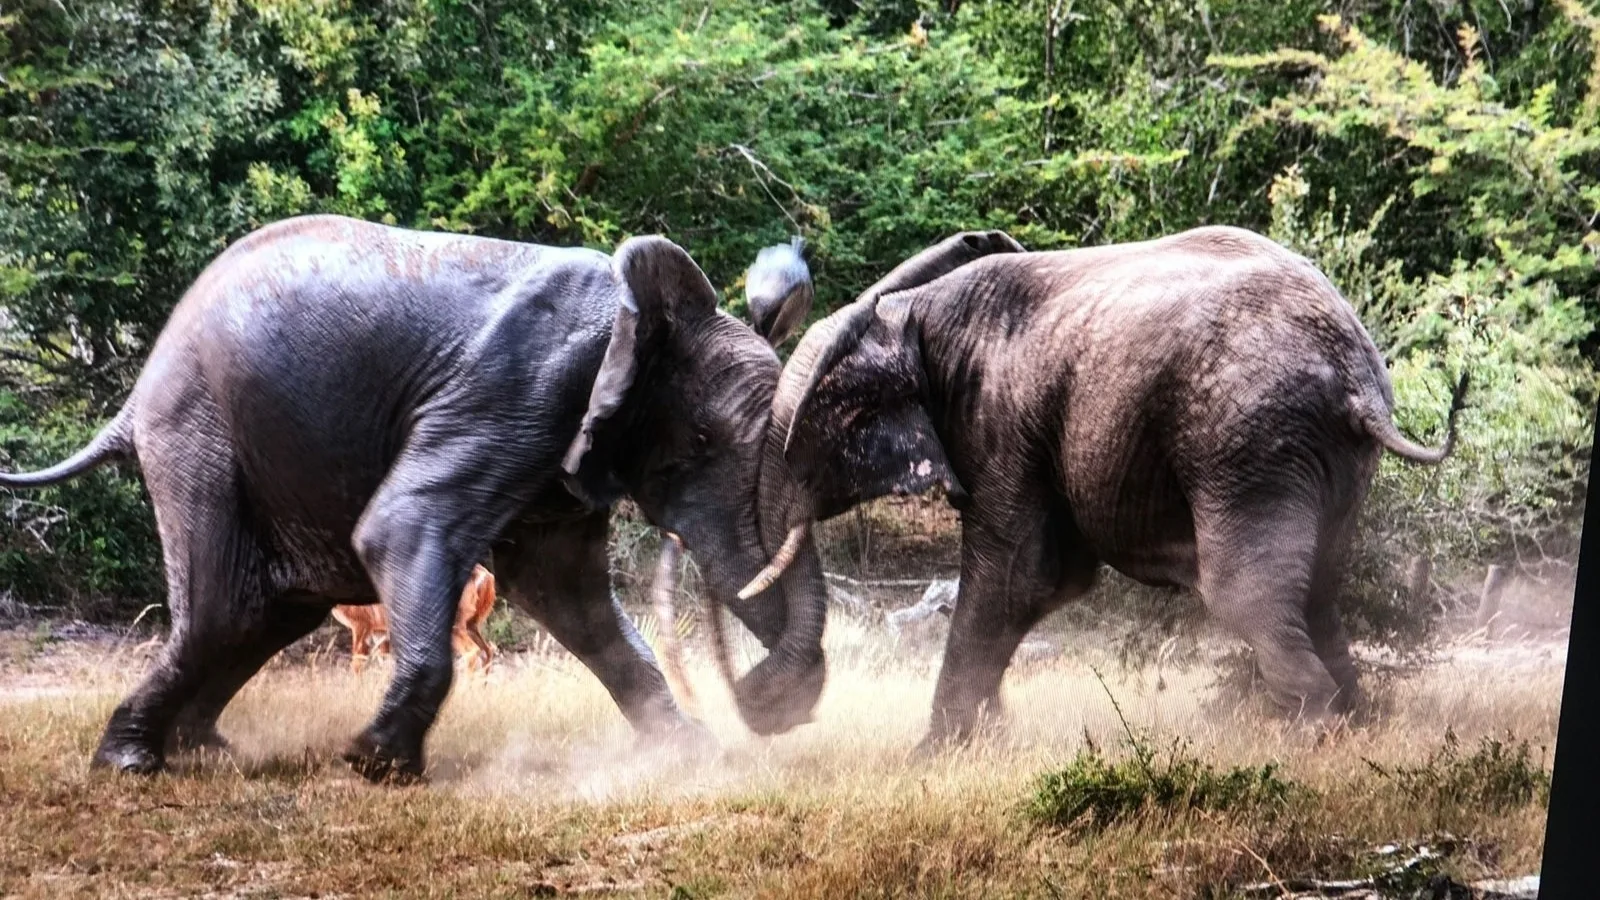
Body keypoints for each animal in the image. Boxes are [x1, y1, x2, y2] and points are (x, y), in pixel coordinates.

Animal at [0, 214, 828, 781]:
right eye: (702, 444)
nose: (756, 699)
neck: (633, 319)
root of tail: (137, 394)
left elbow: (571, 595)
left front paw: (688, 753)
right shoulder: (515, 388)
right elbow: (403, 527)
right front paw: (373, 764)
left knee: (269, 611)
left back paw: (206, 749)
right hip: (197, 432)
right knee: (223, 608)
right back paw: (133, 763)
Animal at [763, 225, 1468, 749]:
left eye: (808, 449)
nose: (780, 715)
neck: (910, 317)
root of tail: (1354, 371)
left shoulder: (998, 419)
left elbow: (1017, 576)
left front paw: (933, 755)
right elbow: (1046, 580)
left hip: (1251, 438)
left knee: (1245, 591)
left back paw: (1308, 735)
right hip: (1323, 453)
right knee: (1320, 586)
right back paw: (1355, 723)